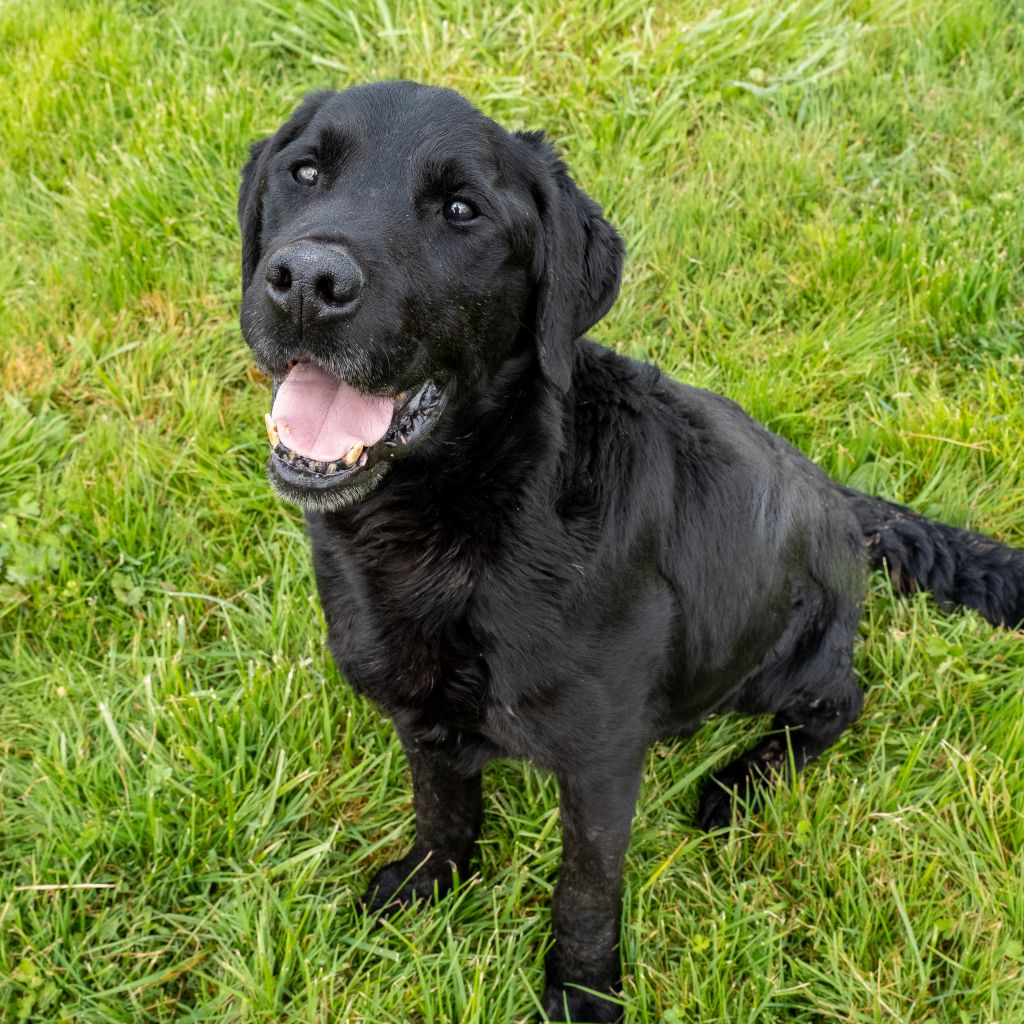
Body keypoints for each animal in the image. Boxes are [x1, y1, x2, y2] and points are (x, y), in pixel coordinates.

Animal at [237, 81, 1015, 1024]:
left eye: (461, 210)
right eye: (305, 171)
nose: (307, 285)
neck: (463, 520)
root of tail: (841, 500)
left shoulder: (601, 762)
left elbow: (584, 890)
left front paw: (580, 993)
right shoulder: (421, 713)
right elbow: (443, 806)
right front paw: (430, 886)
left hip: (776, 661)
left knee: (842, 701)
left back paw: (737, 785)